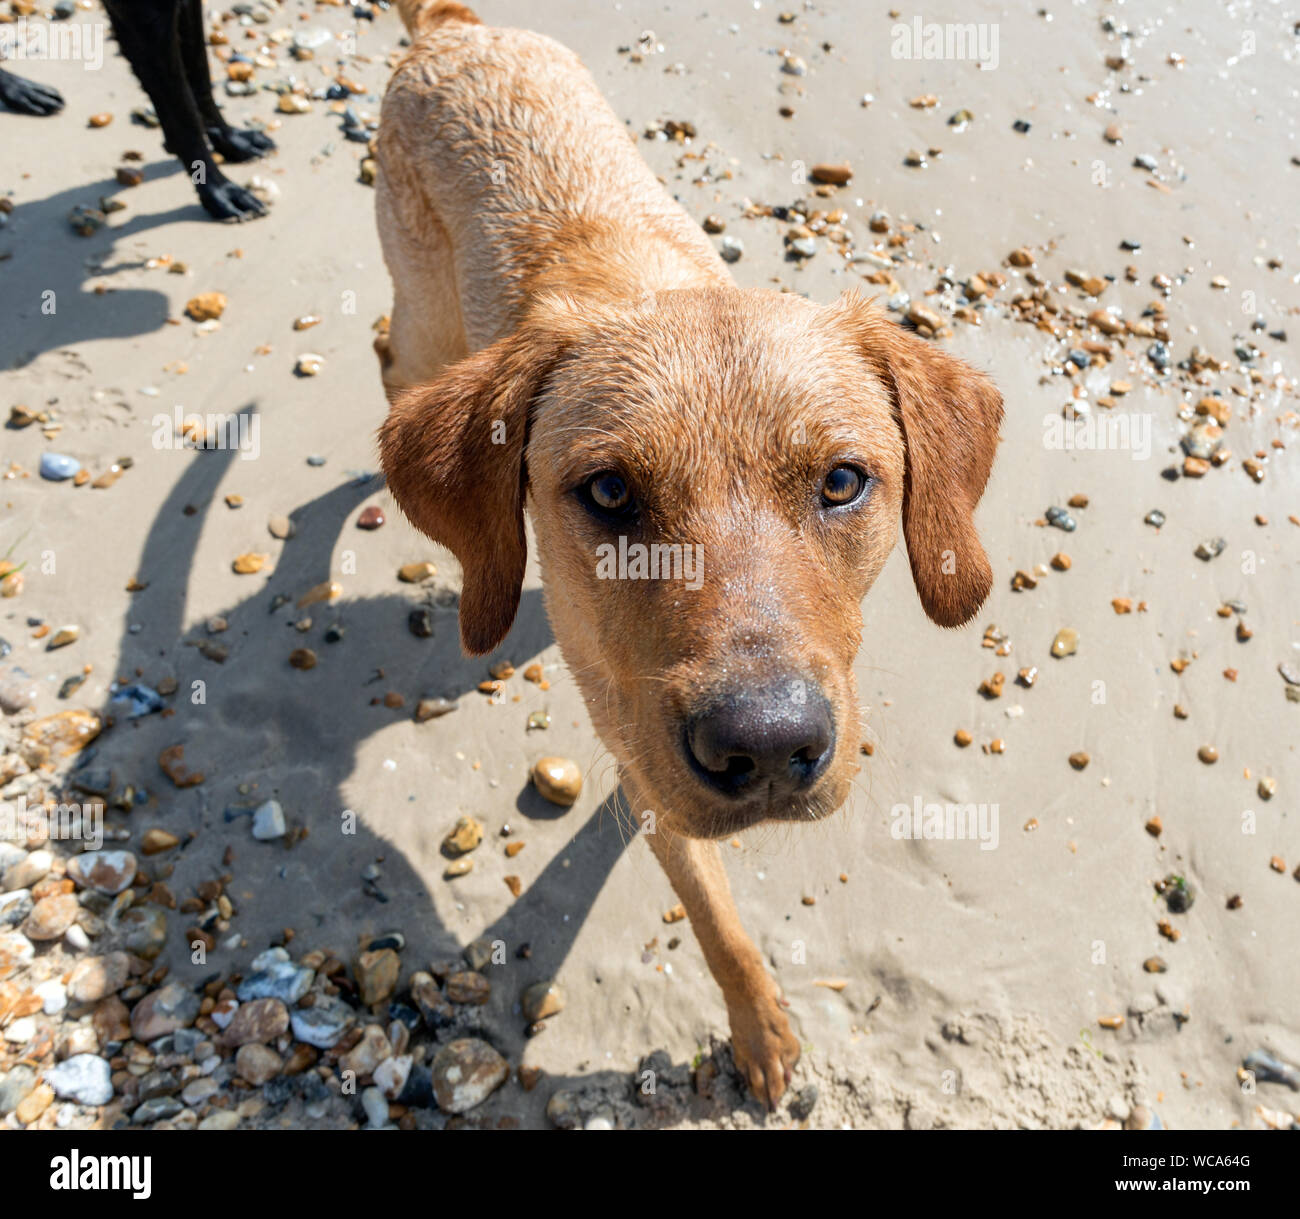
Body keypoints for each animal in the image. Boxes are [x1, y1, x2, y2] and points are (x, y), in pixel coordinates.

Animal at [377, 0, 1003, 1107]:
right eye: (607, 492)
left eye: (842, 481)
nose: (766, 746)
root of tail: (452, 29)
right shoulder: (641, 755)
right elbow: (712, 917)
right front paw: (756, 1025)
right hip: (422, 324)